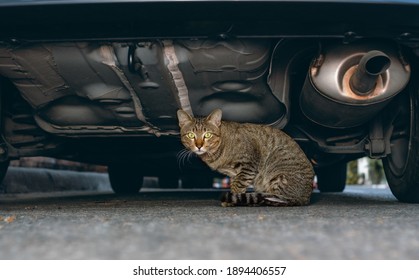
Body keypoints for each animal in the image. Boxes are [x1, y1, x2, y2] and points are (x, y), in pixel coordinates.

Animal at [177, 109, 316, 206]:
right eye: (190, 135)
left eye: (208, 135)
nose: (199, 146)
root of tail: (305, 198)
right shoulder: (235, 173)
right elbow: (235, 184)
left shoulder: (248, 165)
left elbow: (237, 186)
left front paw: (231, 200)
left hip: (278, 174)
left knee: (279, 199)